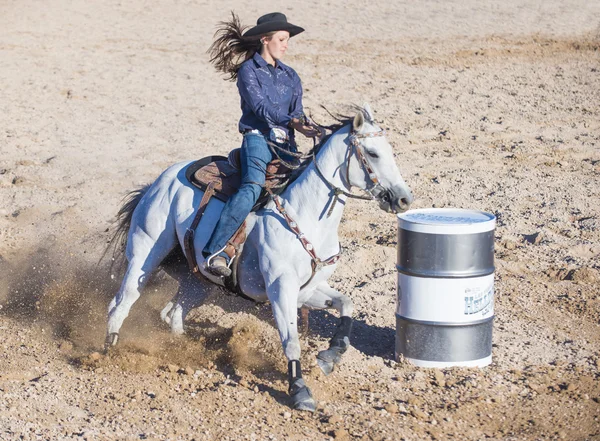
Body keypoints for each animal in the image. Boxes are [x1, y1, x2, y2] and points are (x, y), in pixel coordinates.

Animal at [106, 105, 412, 410]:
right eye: (372, 153)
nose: (404, 199)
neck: (304, 214)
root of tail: (162, 179)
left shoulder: (307, 289)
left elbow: (346, 303)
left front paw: (331, 355)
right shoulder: (280, 288)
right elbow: (291, 340)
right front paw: (299, 390)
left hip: (198, 280)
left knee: (174, 313)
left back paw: (182, 347)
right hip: (146, 249)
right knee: (123, 300)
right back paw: (109, 347)